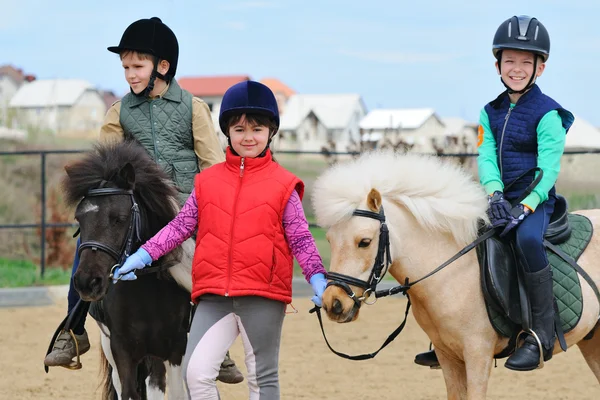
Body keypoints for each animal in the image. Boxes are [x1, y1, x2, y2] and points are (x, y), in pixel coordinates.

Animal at [61, 141, 193, 400]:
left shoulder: (177, 346)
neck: (149, 293)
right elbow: (130, 392)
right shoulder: (122, 349)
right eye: (79, 219)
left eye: (119, 218)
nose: (87, 282)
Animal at [312, 152, 600, 398]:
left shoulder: (477, 354)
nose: (333, 303)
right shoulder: (448, 356)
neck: (453, 272)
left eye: (364, 242)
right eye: (330, 240)